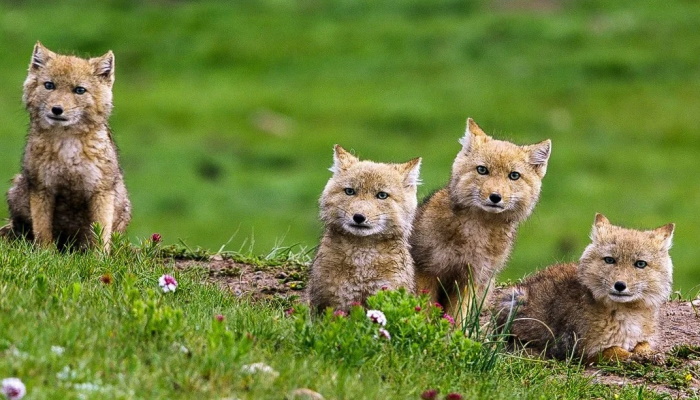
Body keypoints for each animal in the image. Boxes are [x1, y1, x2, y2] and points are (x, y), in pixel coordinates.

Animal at [0, 42, 131, 251]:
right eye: (49, 85)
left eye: (79, 90)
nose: (57, 109)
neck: (67, 148)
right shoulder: (42, 189)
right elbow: (43, 232)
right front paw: (46, 254)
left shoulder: (100, 191)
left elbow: (100, 235)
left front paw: (99, 257)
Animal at [410, 118, 551, 325]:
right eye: (482, 170)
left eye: (514, 175)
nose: (495, 197)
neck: (475, 233)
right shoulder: (427, 270)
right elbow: (425, 311)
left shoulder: (471, 279)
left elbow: (458, 318)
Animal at [496, 214, 674, 363]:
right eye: (610, 260)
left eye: (640, 264)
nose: (619, 285)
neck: (628, 316)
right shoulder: (583, 350)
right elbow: (616, 350)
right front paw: (633, 357)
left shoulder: (644, 338)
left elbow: (644, 345)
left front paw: (650, 354)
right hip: (515, 300)